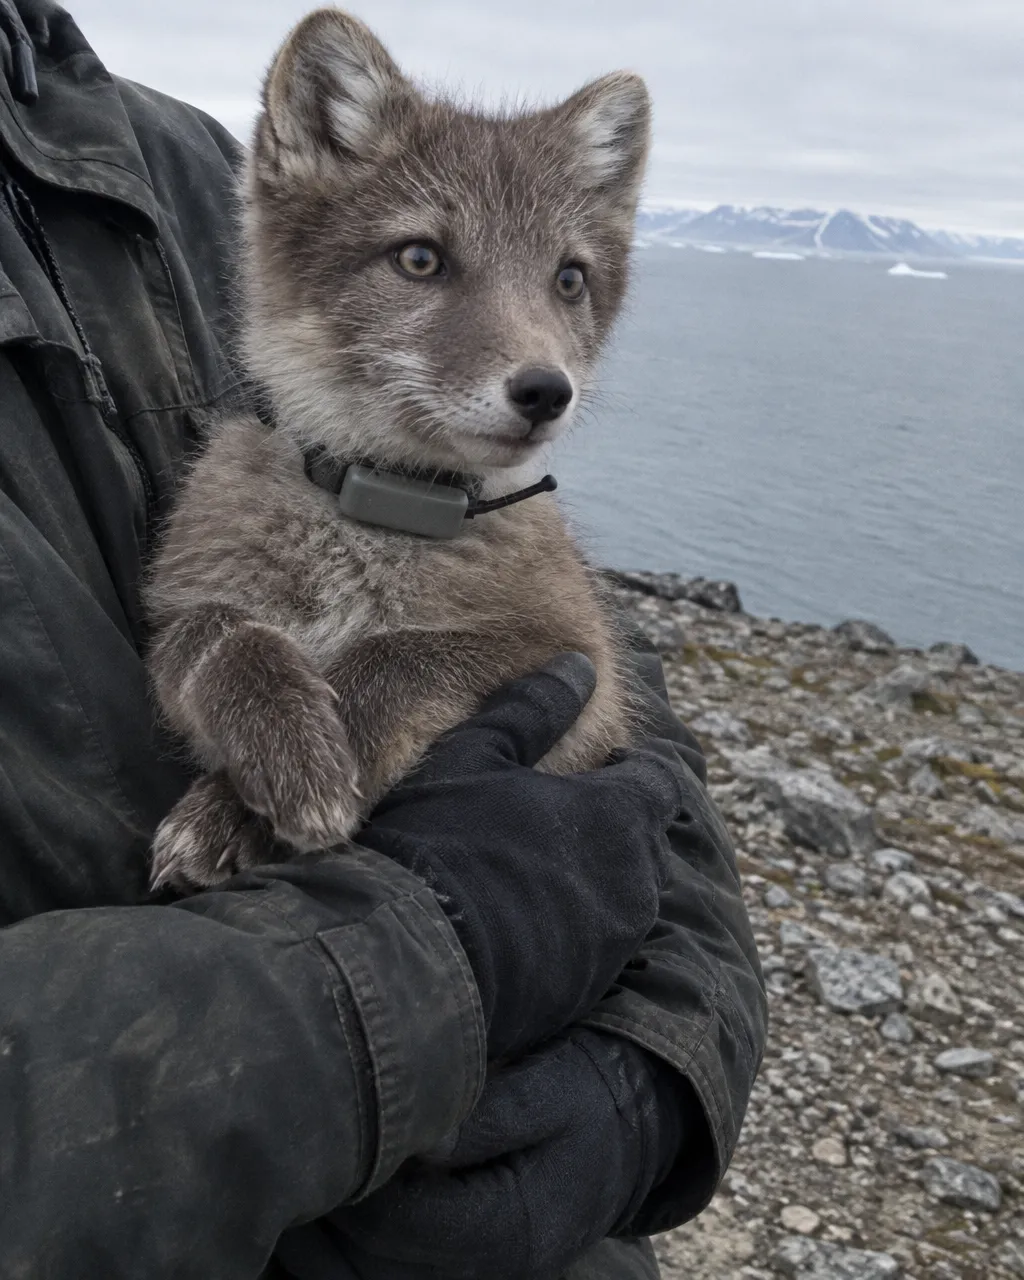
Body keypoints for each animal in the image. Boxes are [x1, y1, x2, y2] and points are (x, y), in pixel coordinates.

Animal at [146, 7, 652, 891]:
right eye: (420, 257)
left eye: (569, 279)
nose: (545, 392)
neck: (382, 507)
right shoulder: (178, 602)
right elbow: (214, 630)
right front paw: (285, 742)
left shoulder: (581, 660)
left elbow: (404, 651)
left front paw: (271, 786)